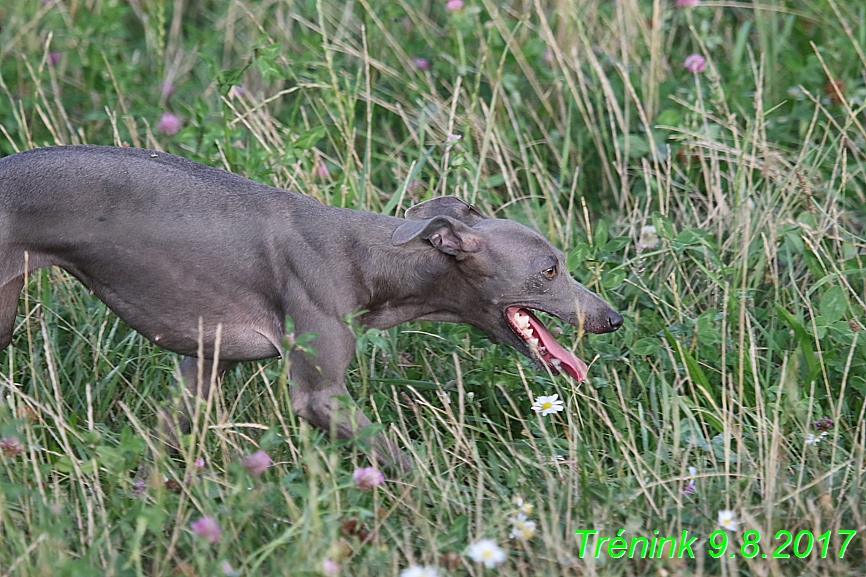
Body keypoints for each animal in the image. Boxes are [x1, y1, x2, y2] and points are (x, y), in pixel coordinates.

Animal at [1, 145, 620, 468]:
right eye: (550, 269)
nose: (613, 318)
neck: (372, 257)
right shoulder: (318, 395)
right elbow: (398, 459)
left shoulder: (204, 363)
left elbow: (165, 439)